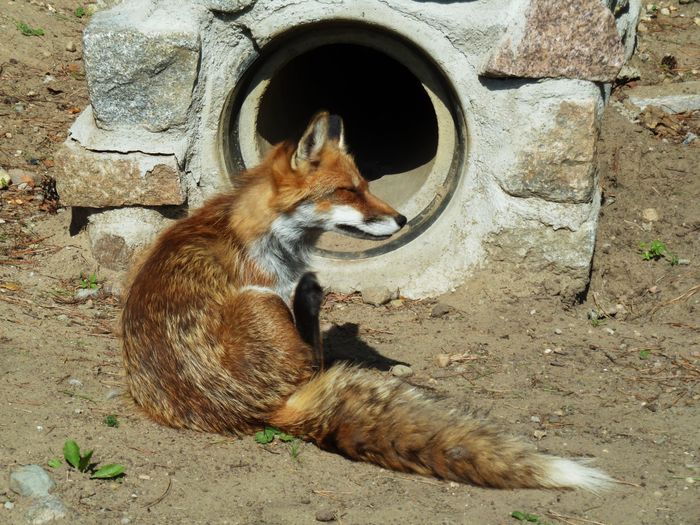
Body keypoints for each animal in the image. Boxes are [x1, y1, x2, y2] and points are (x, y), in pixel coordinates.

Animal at [121, 111, 612, 492]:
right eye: (347, 191)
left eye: (366, 184)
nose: (402, 219)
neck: (264, 234)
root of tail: (265, 411)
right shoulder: (269, 286)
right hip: (259, 303)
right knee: (312, 360)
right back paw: (311, 297)